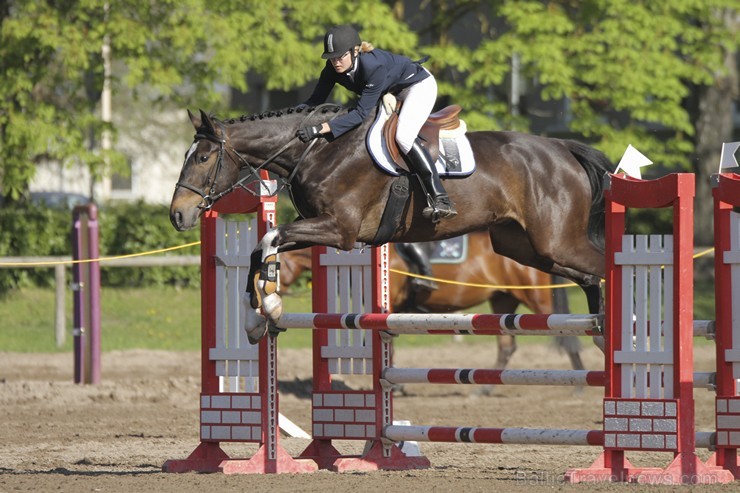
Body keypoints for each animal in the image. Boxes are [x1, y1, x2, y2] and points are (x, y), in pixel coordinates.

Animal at [171, 105, 608, 340]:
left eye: (204, 158)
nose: (177, 214)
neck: (317, 152)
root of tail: (562, 148)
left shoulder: (340, 230)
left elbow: (271, 237)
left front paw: (271, 303)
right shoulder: (321, 227)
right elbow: (261, 247)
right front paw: (256, 317)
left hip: (555, 240)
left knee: (602, 266)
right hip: (525, 247)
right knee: (590, 276)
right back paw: (601, 327)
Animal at [278, 231, 584, 372]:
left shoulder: (391, 309)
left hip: (537, 299)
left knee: (570, 337)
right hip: (503, 301)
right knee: (507, 347)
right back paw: (481, 389)